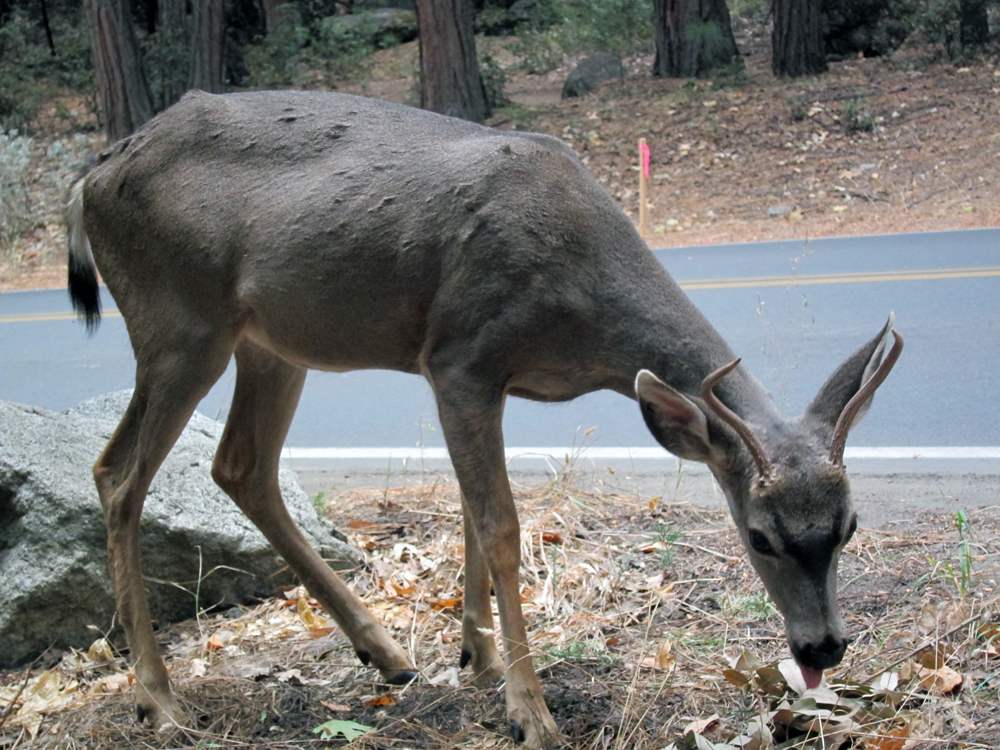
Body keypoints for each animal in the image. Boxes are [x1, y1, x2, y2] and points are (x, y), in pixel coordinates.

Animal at [66, 89, 904, 750]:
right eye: (759, 538)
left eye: (850, 525)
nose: (824, 646)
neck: (581, 314)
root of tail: (89, 180)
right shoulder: (463, 354)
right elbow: (500, 523)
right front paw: (529, 711)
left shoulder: (484, 378)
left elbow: (471, 511)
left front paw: (478, 657)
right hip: (180, 322)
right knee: (117, 473)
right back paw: (160, 701)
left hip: (270, 340)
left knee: (240, 465)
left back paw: (384, 651)